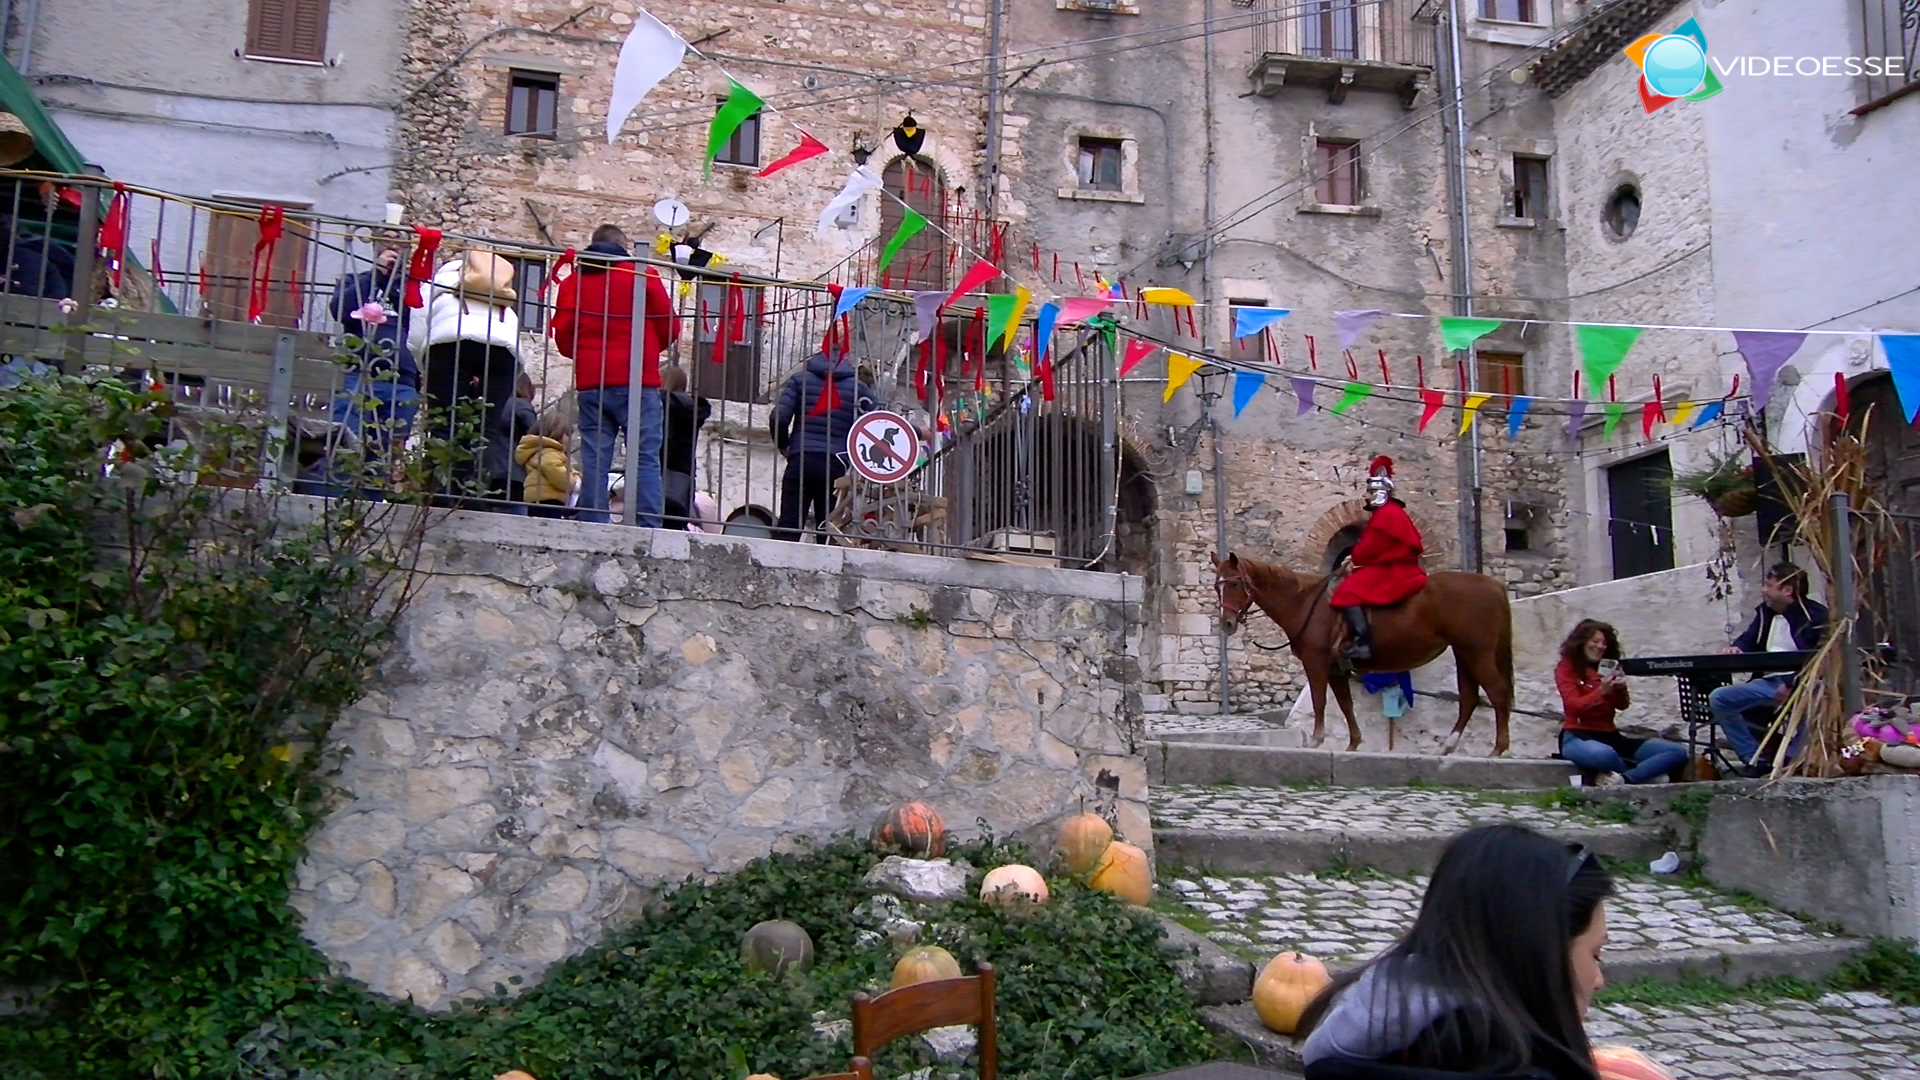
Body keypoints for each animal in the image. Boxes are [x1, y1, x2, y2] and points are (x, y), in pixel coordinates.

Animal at [1213, 549, 1512, 753]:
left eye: (1235, 583)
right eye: (1217, 585)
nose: (1226, 623)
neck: (1305, 601)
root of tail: (1494, 585)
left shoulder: (1315, 663)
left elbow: (1320, 701)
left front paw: (1316, 740)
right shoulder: (1335, 670)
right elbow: (1346, 705)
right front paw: (1353, 744)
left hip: (1477, 653)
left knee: (1497, 693)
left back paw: (1498, 749)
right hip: (1464, 654)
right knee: (1469, 698)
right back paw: (1450, 745)